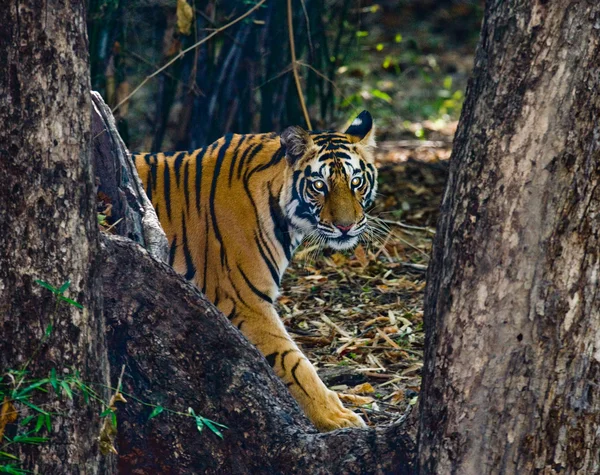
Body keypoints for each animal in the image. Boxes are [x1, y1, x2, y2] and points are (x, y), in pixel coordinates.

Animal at [135, 110, 378, 432]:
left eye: (356, 182)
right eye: (319, 186)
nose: (346, 227)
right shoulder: (245, 302)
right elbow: (295, 363)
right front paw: (334, 416)